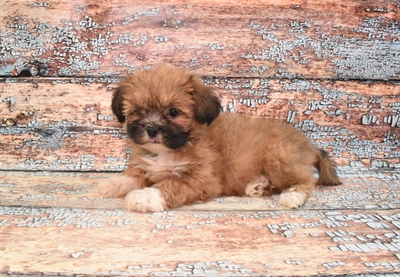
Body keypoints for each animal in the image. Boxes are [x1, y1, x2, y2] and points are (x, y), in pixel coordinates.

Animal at [97, 64, 340, 211]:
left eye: (173, 112)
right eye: (138, 110)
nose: (152, 129)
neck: (172, 149)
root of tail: (308, 145)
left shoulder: (203, 179)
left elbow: (173, 184)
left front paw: (145, 196)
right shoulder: (145, 163)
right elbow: (134, 175)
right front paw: (114, 183)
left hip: (278, 158)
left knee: (305, 180)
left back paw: (292, 195)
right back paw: (259, 187)